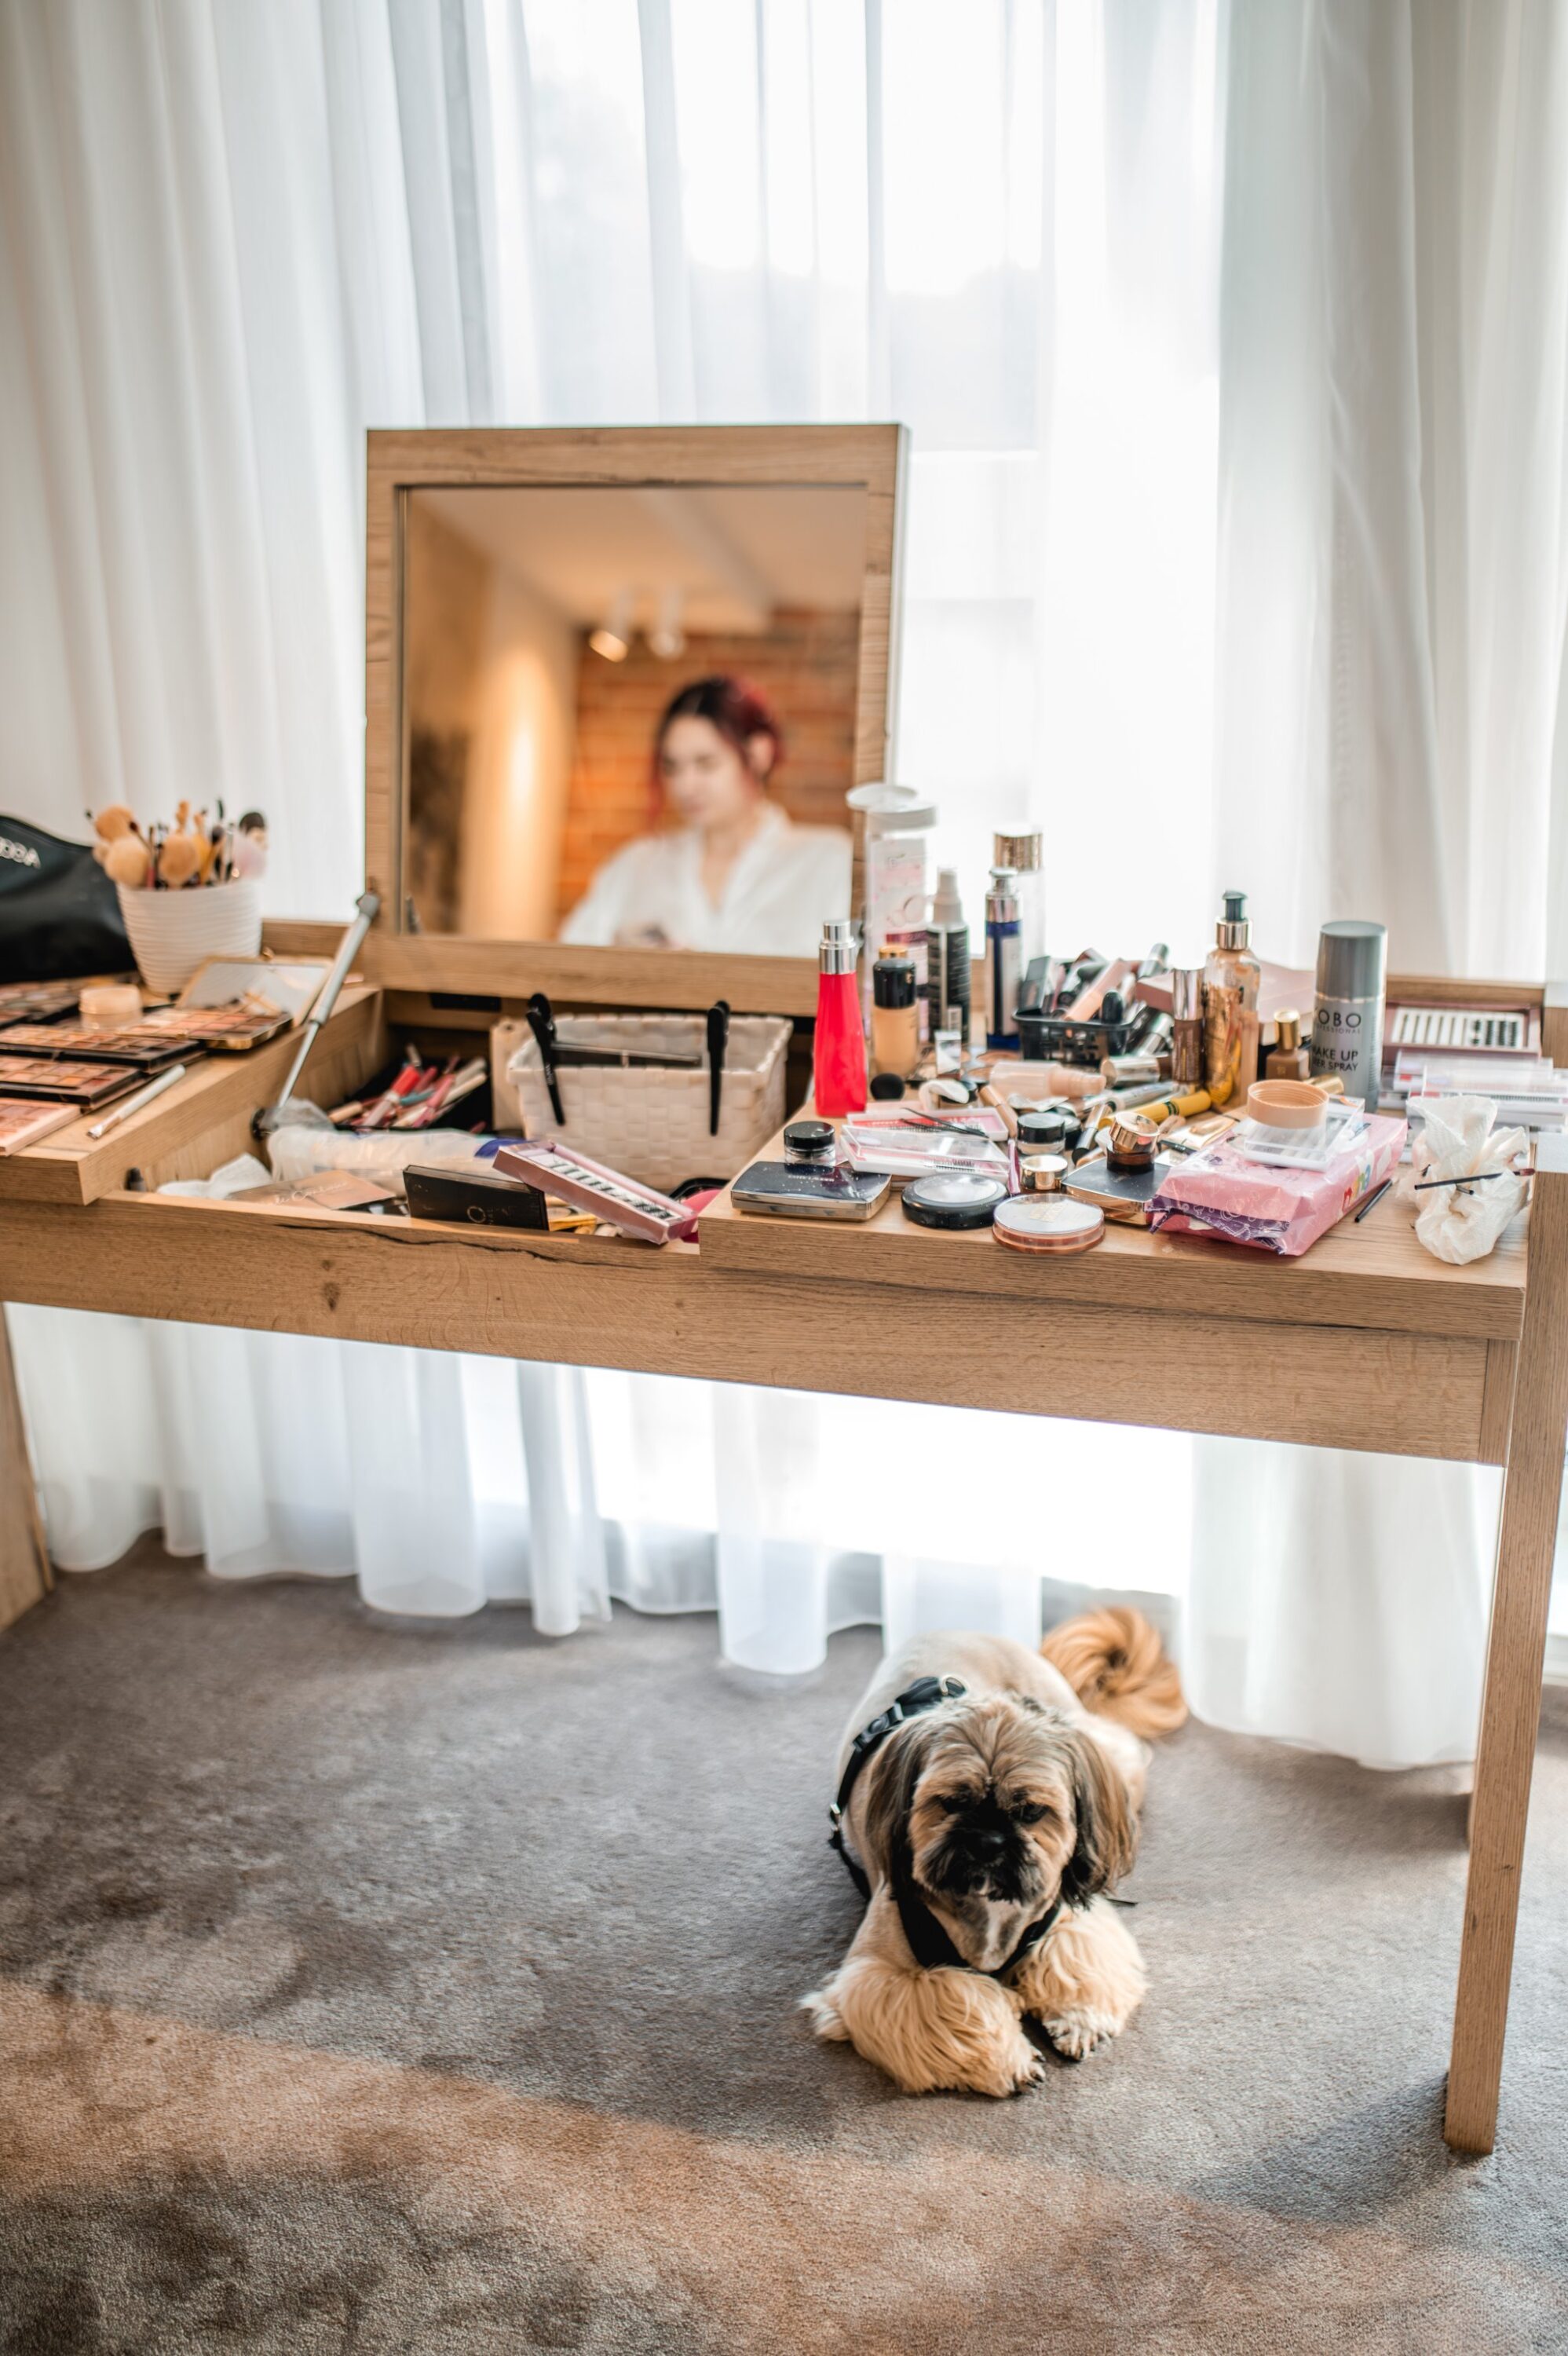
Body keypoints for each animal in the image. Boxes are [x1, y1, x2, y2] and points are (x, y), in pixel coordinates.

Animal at [802, 1608, 1184, 2095]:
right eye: (951, 1802)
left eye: (1030, 1811)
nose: (987, 1840)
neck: (987, 1910)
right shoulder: (875, 1977)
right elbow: (958, 2003)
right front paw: (1011, 2059)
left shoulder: (1068, 1917)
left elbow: (1074, 1959)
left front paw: (1079, 2020)